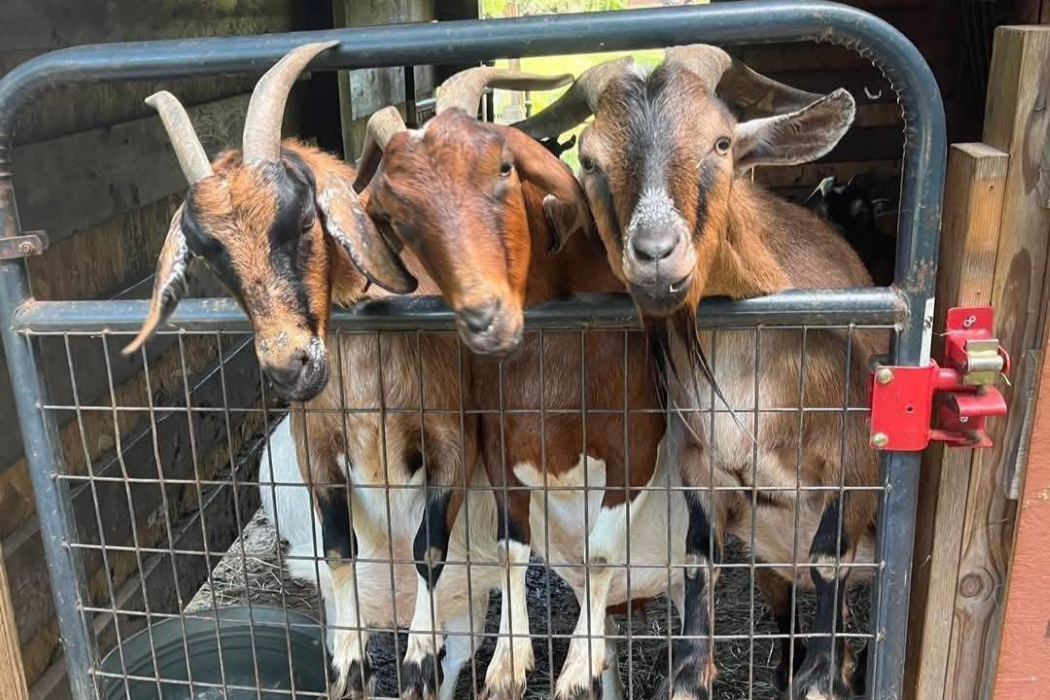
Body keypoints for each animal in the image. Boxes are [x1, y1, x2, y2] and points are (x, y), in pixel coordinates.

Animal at [127, 43, 498, 700]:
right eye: (211, 255)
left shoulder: (452, 436)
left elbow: (428, 548)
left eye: (302, 222)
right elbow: (339, 546)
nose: (288, 365)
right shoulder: (316, 444)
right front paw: (349, 662)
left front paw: (416, 654)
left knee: (461, 647)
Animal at [346, 68, 690, 700]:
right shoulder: (498, 444)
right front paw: (509, 661)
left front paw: (574, 665)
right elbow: (511, 549)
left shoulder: (636, 445)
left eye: (504, 166)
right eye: (394, 213)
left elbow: (602, 553)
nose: (485, 317)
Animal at [516, 47, 882, 700]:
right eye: (590, 159)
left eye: (721, 142)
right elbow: (697, 563)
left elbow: (828, 561)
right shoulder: (699, 463)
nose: (656, 253)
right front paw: (691, 675)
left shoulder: (854, 460)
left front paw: (820, 679)